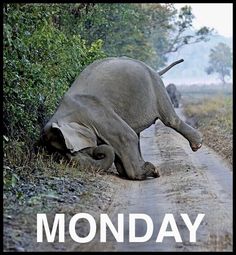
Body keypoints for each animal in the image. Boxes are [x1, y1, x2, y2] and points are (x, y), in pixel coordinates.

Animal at [41, 56, 203, 180]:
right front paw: (136, 171)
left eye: (71, 151)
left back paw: (197, 144)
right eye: (61, 155)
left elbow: (126, 137)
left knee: (169, 119)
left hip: (156, 87)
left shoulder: (97, 113)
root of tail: (152, 70)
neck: (64, 113)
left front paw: (152, 171)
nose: (98, 153)